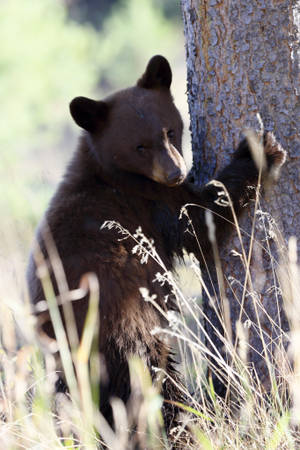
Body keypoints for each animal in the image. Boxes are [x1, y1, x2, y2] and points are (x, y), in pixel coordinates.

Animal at [27, 55, 286, 436]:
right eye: (139, 146)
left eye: (170, 131)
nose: (176, 172)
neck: (113, 174)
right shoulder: (151, 206)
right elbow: (200, 222)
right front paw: (259, 150)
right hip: (126, 330)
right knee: (153, 382)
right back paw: (186, 423)